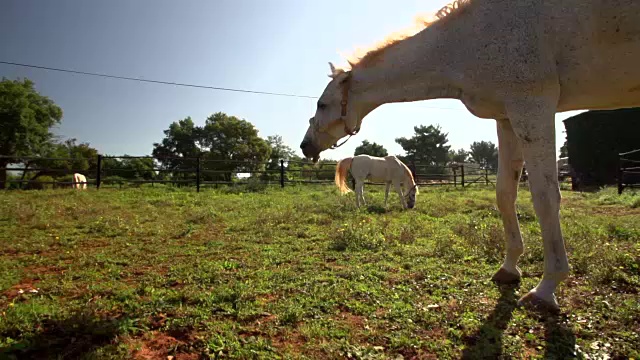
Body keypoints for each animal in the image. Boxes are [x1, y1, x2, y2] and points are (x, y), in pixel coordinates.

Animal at [300, 0, 640, 310]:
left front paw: (546, 289)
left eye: (322, 104)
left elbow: (545, 198)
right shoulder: (507, 118)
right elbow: (505, 195)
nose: (306, 146)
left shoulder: (533, 106)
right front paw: (509, 269)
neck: (468, 39)